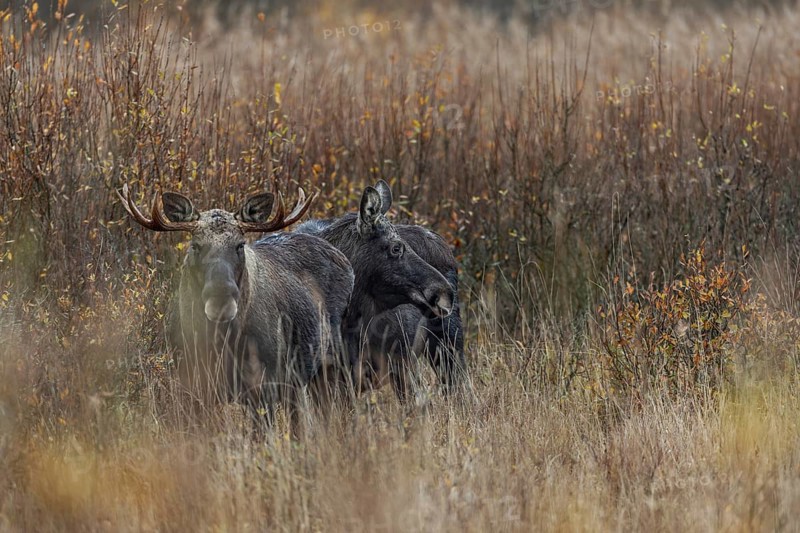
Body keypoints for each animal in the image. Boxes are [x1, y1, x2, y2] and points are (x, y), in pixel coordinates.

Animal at [117, 184, 354, 425]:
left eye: (240, 245)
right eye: (196, 246)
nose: (221, 301)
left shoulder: (264, 385)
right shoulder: (192, 385)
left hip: (331, 365)